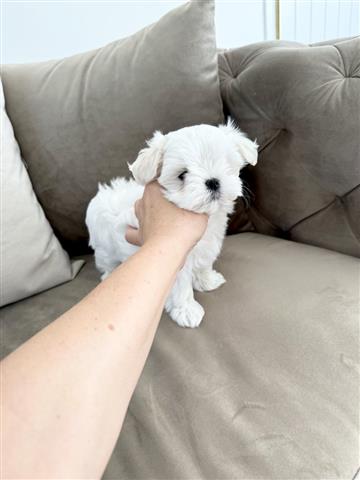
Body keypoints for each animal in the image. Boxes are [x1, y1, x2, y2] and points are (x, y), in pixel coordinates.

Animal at [86, 122, 258, 328]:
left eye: (225, 163)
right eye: (182, 174)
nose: (213, 181)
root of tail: (101, 195)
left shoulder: (209, 245)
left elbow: (204, 263)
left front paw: (207, 279)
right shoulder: (176, 262)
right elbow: (181, 286)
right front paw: (187, 310)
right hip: (104, 247)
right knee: (106, 263)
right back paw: (109, 274)